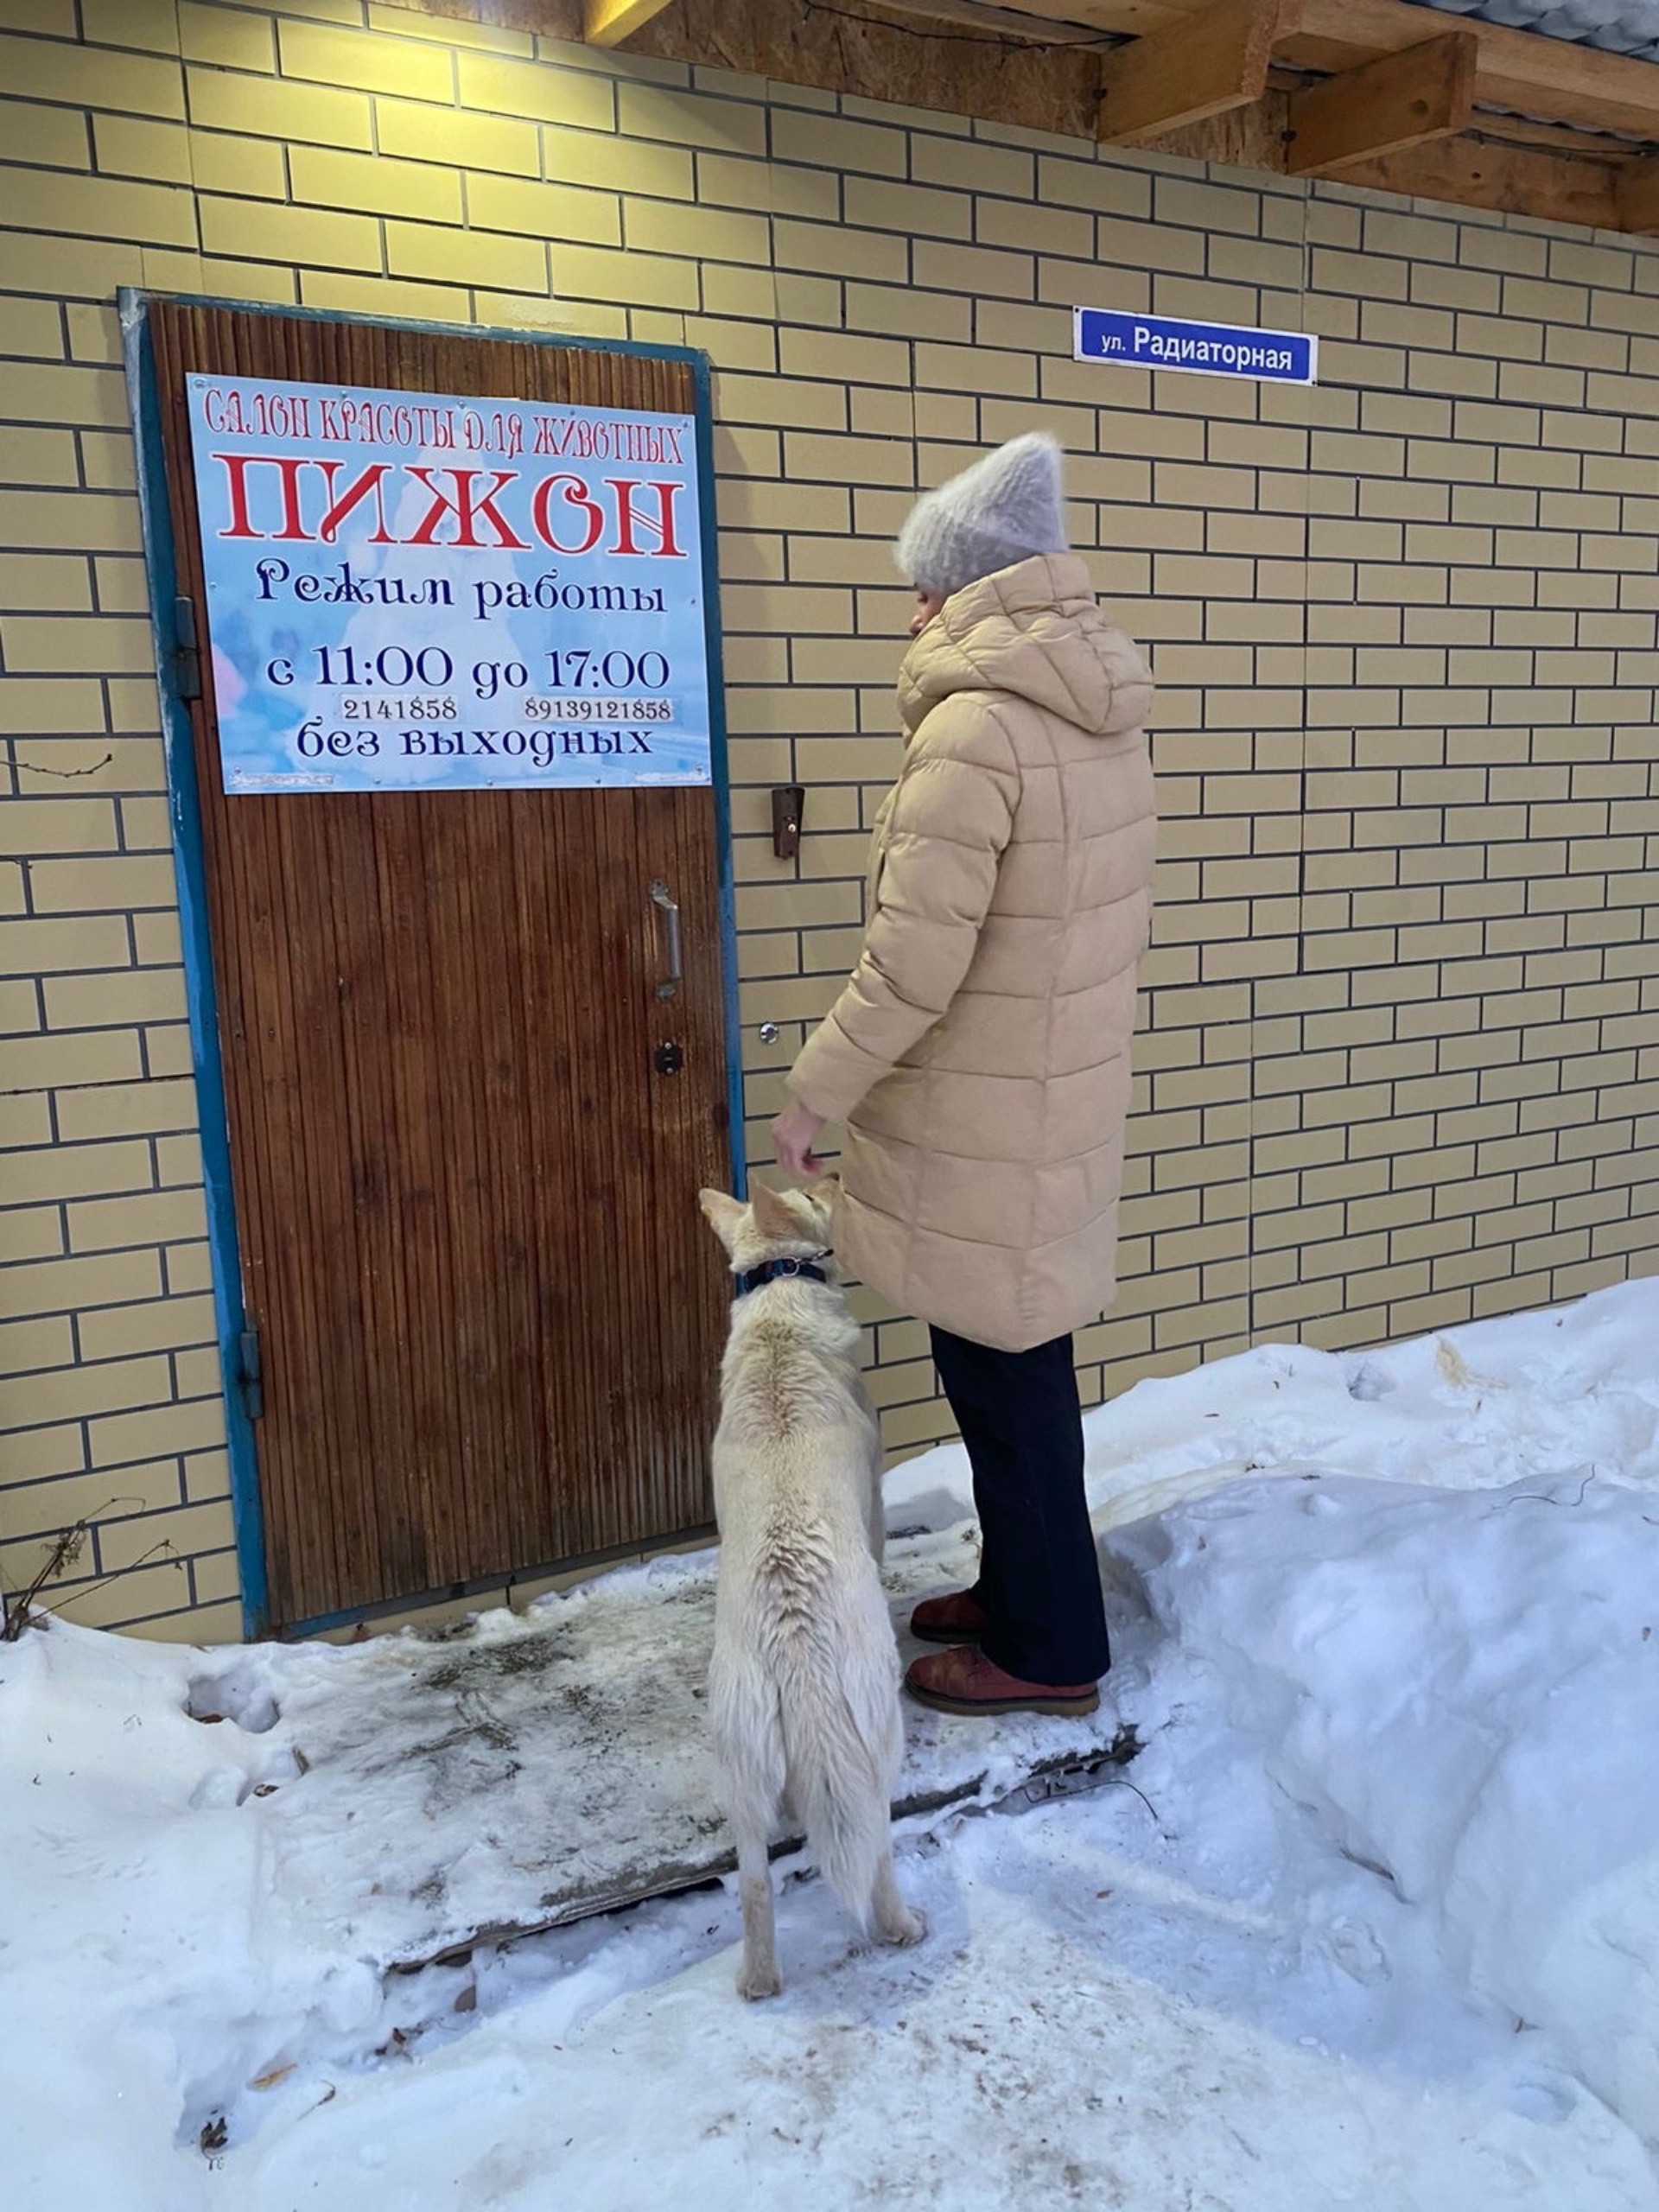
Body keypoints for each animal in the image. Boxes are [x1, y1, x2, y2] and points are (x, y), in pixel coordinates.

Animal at [703, 1185, 929, 1999]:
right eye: (807, 1194)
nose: (831, 1176)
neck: (780, 1294)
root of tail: (795, 1635)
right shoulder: (875, 1495)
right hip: (876, 1727)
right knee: (877, 1840)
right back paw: (901, 1926)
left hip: (739, 1762)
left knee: (755, 1884)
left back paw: (759, 1982)